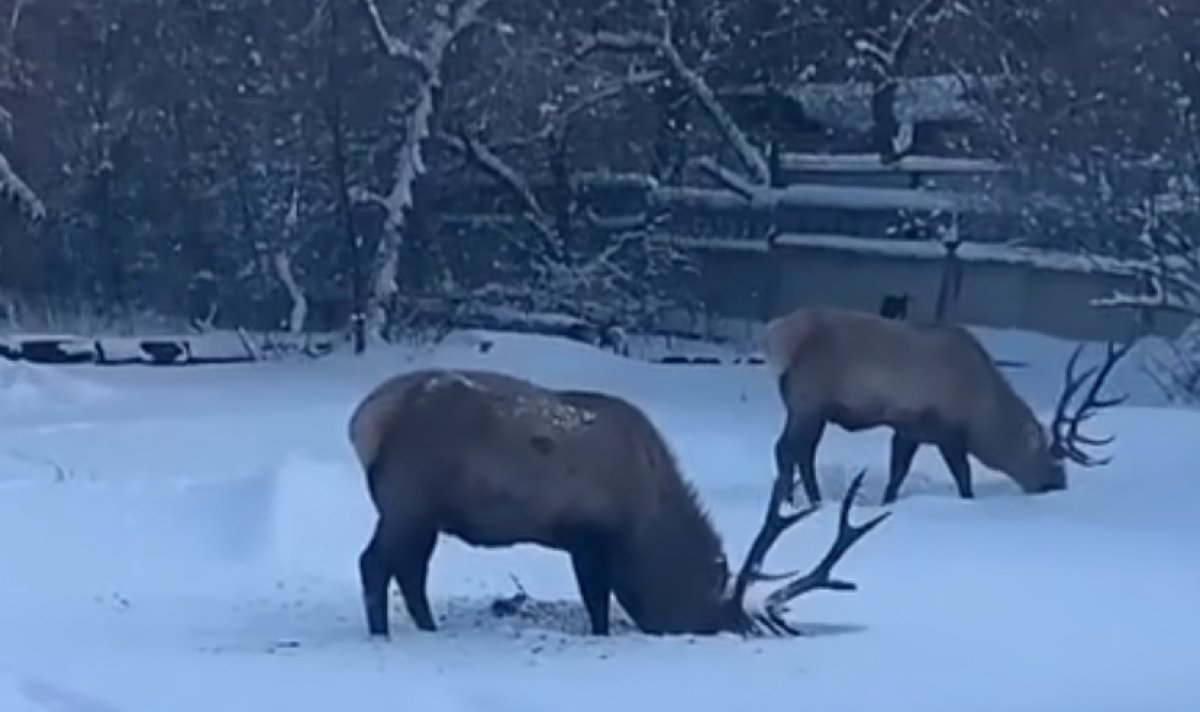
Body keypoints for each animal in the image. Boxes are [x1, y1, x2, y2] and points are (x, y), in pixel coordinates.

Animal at [348, 369, 892, 633]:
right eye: (721, 621)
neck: (647, 526)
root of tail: (364, 421)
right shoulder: (588, 534)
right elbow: (598, 603)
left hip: (421, 511)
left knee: (407, 569)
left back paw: (427, 628)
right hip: (409, 498)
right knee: (375, 563)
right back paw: (384, 634)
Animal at [763, 304, 1128, 504]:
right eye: (1053, 464)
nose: (1057, 487)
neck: (985, 412)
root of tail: (776, 337)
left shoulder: (910, 429)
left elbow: (897, 476)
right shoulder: (946, 430)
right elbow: (963, 478)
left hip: (808, 405)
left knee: (802, 452)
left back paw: (807, 501)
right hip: (809, 399)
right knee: (787, 449)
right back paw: (796, 502)